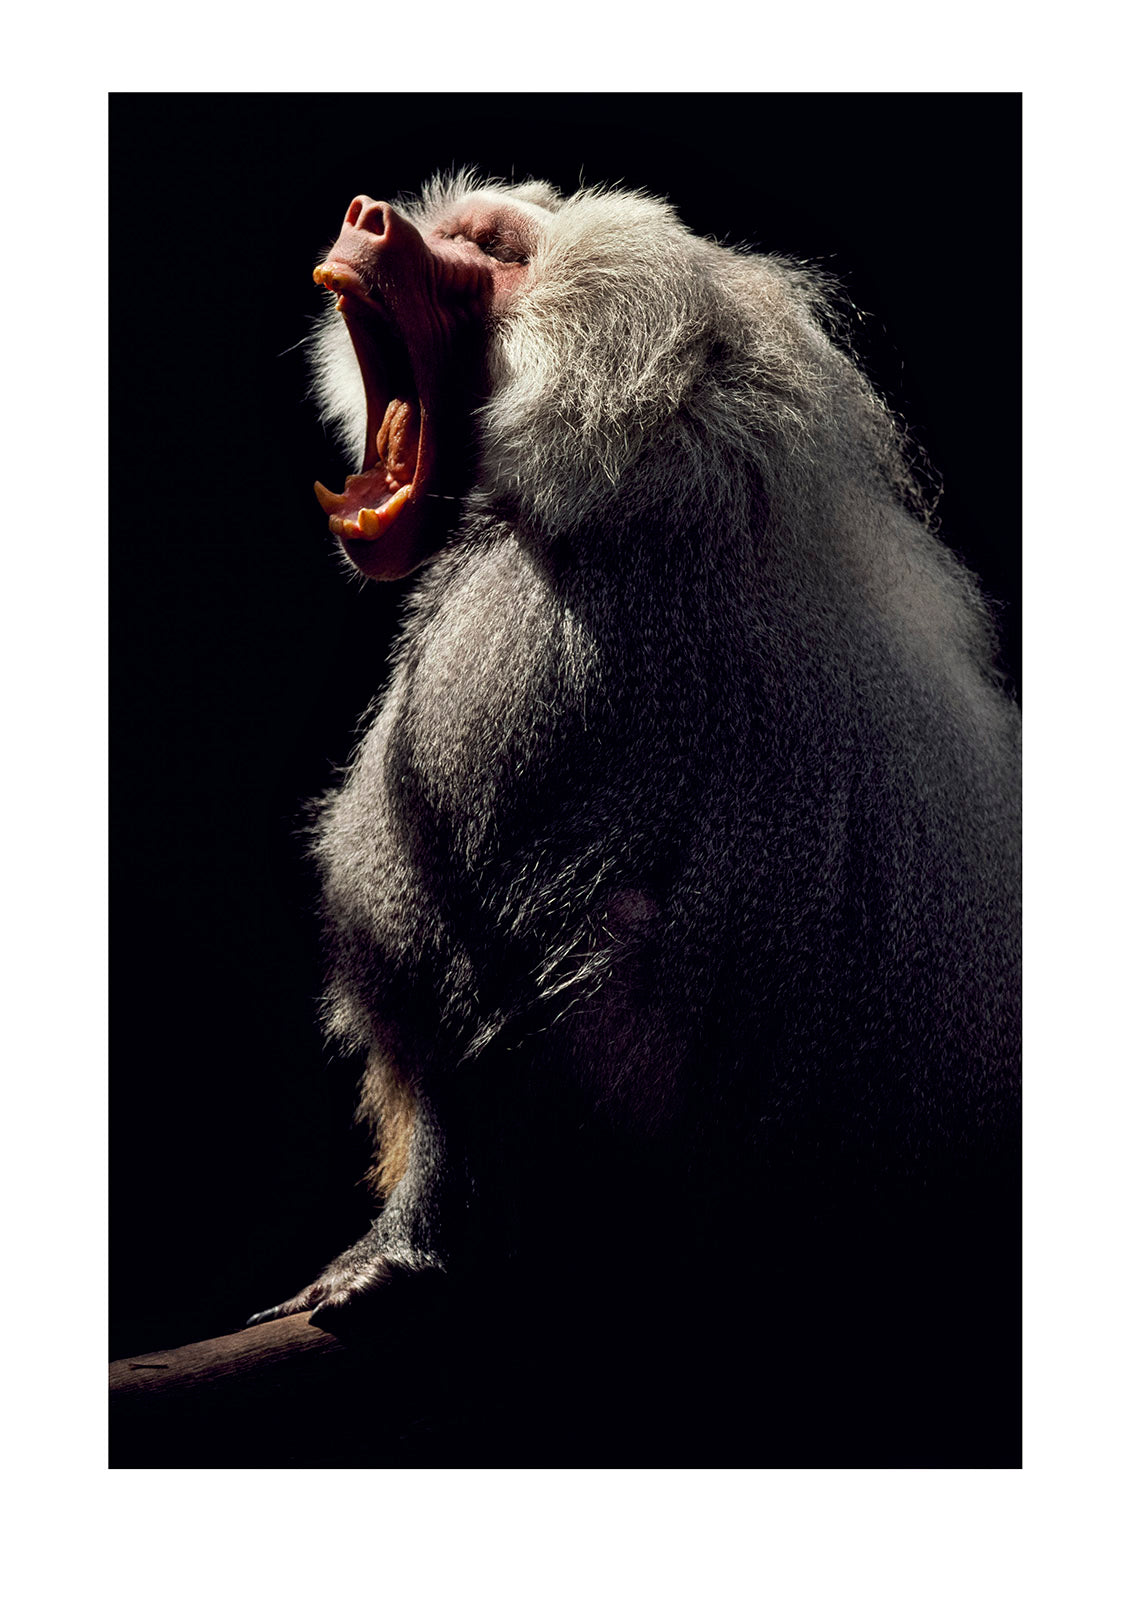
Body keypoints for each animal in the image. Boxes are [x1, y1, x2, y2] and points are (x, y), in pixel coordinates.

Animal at [249, 174, 1020, 1465]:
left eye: (489, 248)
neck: (675, 471)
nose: (369, 215)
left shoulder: (515, 637)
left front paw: (401, 1259)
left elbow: (448, 980)